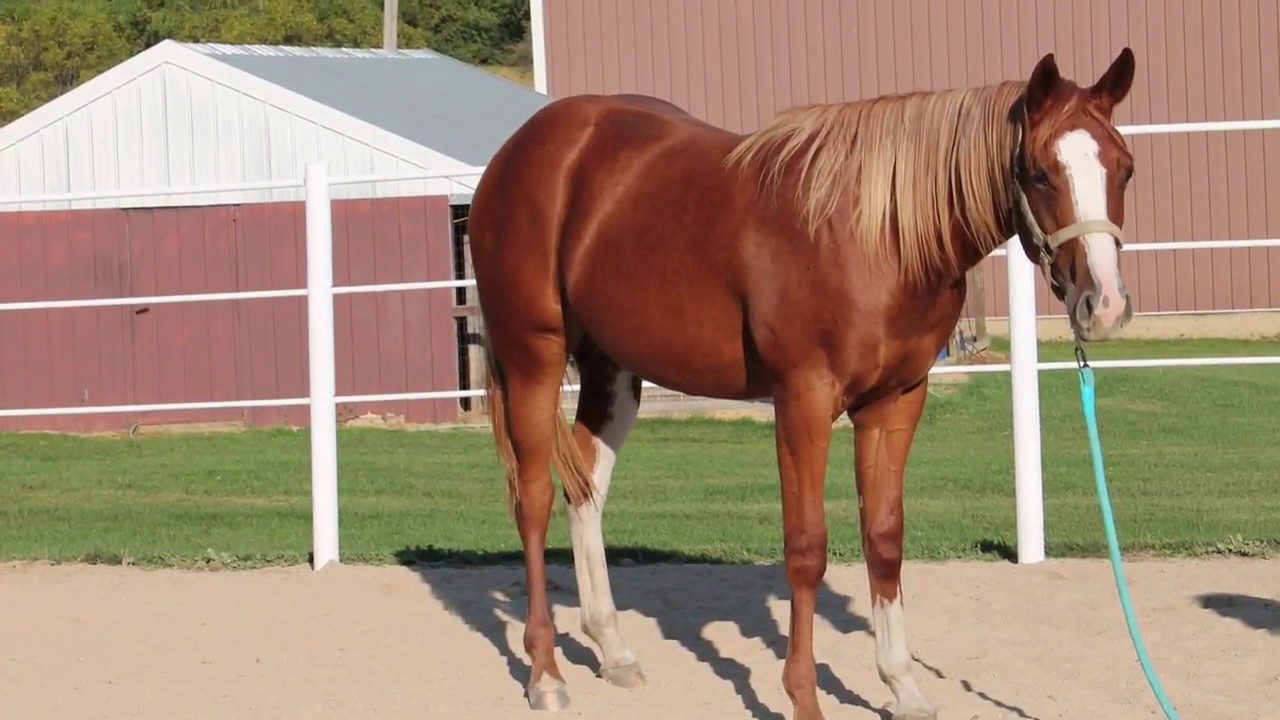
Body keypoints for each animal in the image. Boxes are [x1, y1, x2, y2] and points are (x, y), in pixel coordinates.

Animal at [466, 48, 1138, 720]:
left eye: (1125, 170)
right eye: (1040, 174)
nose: (1103, 307)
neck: (876, 236)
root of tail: (523, 149)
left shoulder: (896, 402)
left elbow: (884, 537)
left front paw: (903, 685)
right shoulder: (803, 402)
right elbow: (808, 548)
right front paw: (804, 696)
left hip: (613, 372)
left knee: (587, 489)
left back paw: (613, 652)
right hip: (534, 358)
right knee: (534, 500)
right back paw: (546, 673)